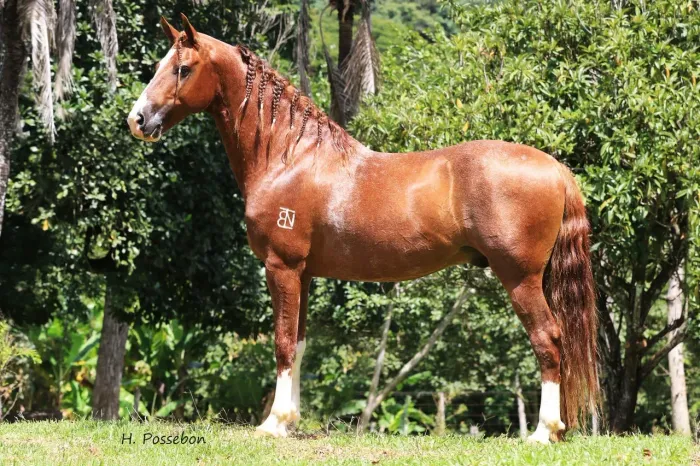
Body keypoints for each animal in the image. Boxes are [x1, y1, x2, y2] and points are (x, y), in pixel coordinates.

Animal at [128, 14, 598, 444]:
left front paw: (273, 424)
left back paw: (543, 432)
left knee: (547, 339)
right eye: (159, 65)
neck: (289, 156)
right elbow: (299, 343)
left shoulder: (281, 267)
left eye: (183, 68)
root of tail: (555, 168)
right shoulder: (304, 274)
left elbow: (281, 342)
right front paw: (290, 421)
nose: (137, 120)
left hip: (519, 277)